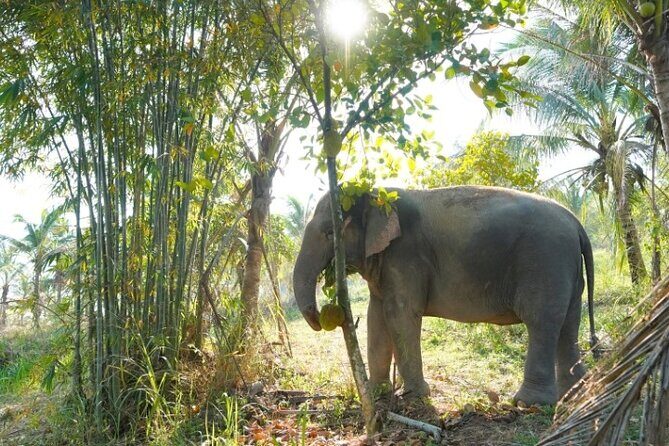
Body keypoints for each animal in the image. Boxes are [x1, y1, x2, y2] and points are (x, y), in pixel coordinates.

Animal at [292, 186, 597, 406]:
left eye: (329, 233)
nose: (322, 316)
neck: (376, 192)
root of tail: (576, 223)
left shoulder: (406, 254)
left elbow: (400, 313)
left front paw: (413, 396)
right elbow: (375, 315)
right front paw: (377, 393)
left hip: (545, 261)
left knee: (542, 322)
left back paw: (529, 404)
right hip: (566, 268)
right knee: (568, 325)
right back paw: (575, 394)